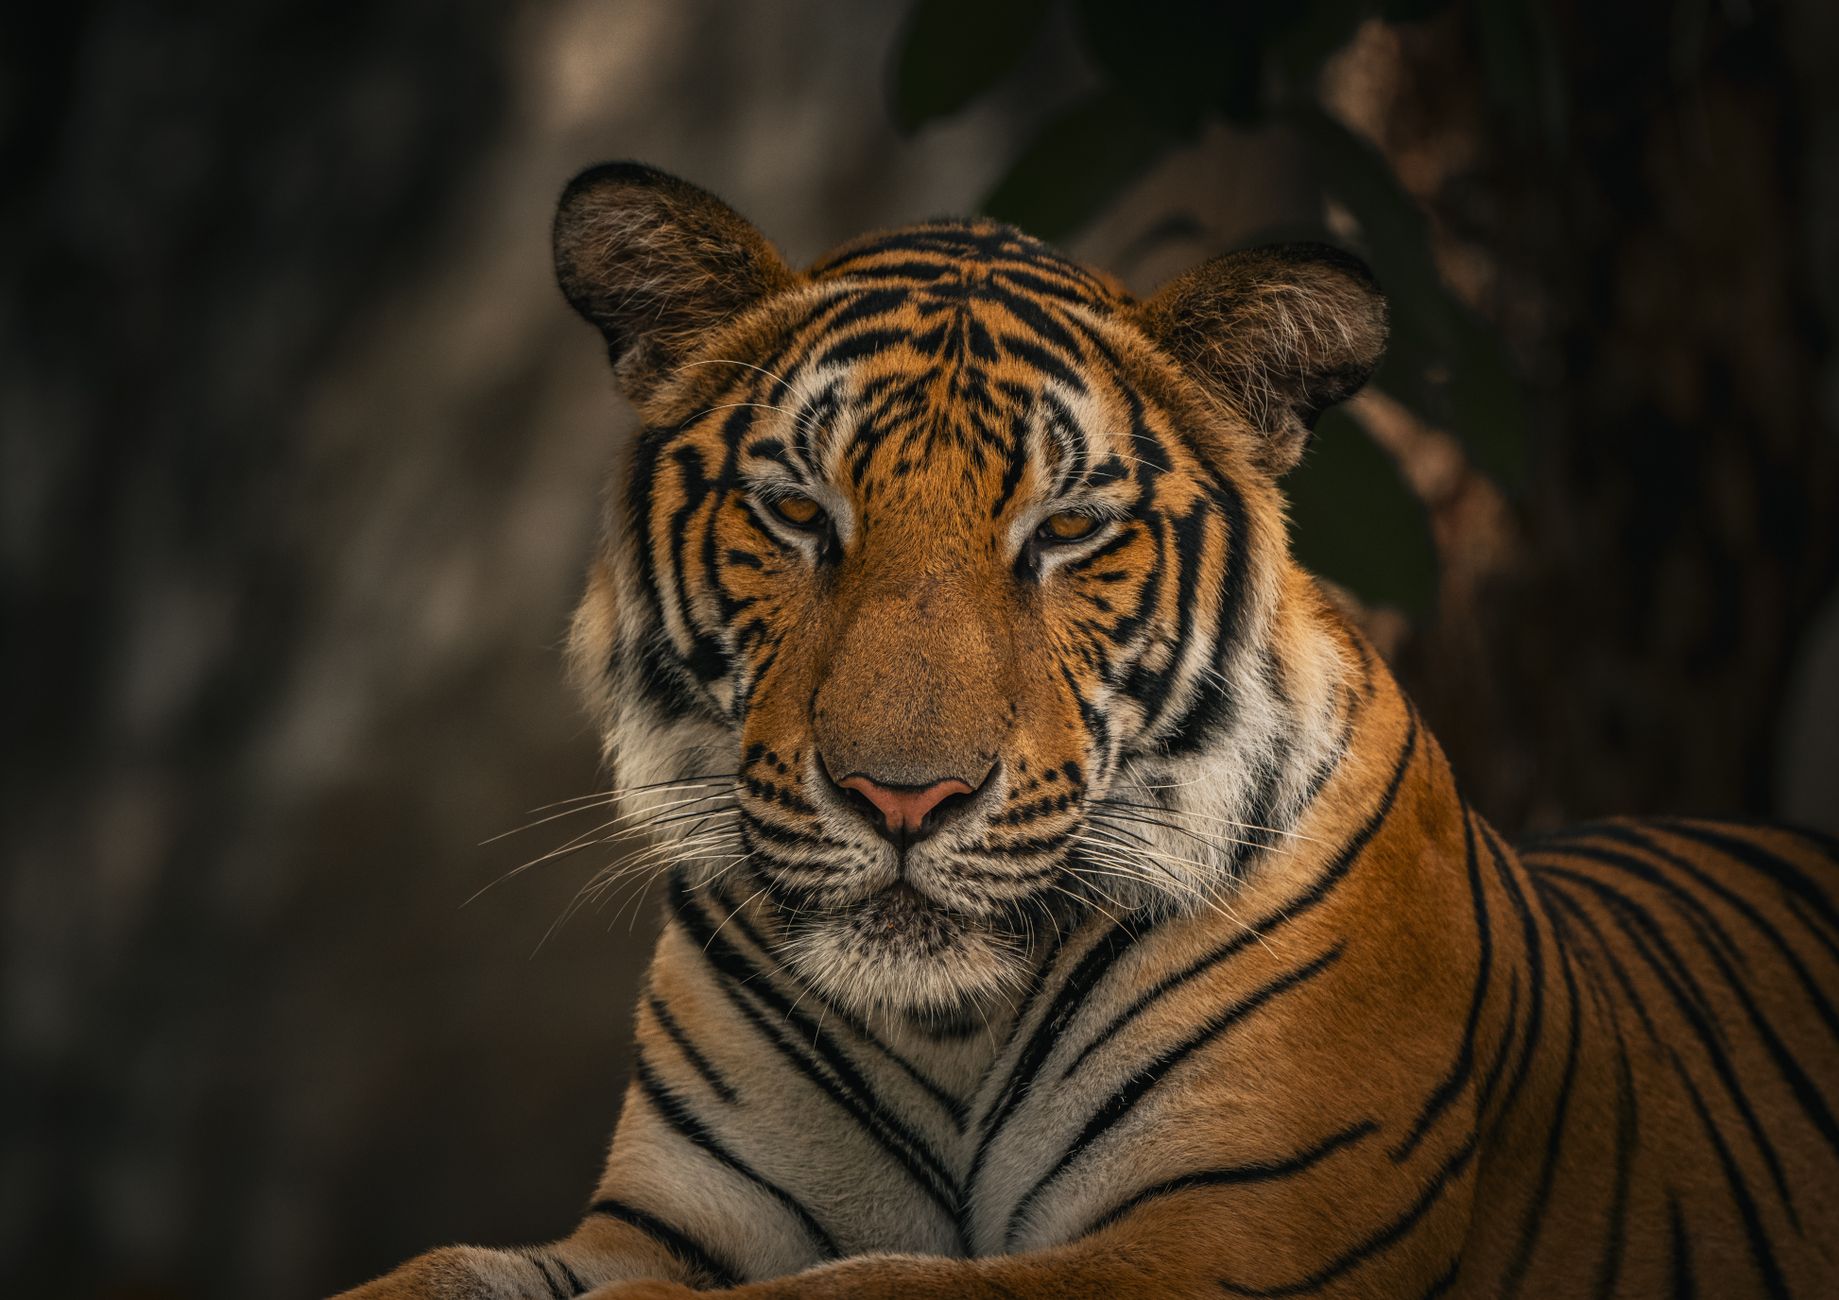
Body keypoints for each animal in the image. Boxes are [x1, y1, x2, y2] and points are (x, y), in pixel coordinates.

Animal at [336, 162, 1839, 1299]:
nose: (902, 799)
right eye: (799, 513)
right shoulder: (665, 1226)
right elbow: (437, 1271)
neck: (951, 1025)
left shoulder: (1224, 1233)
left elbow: (875, 1288)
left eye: (1063, 531)